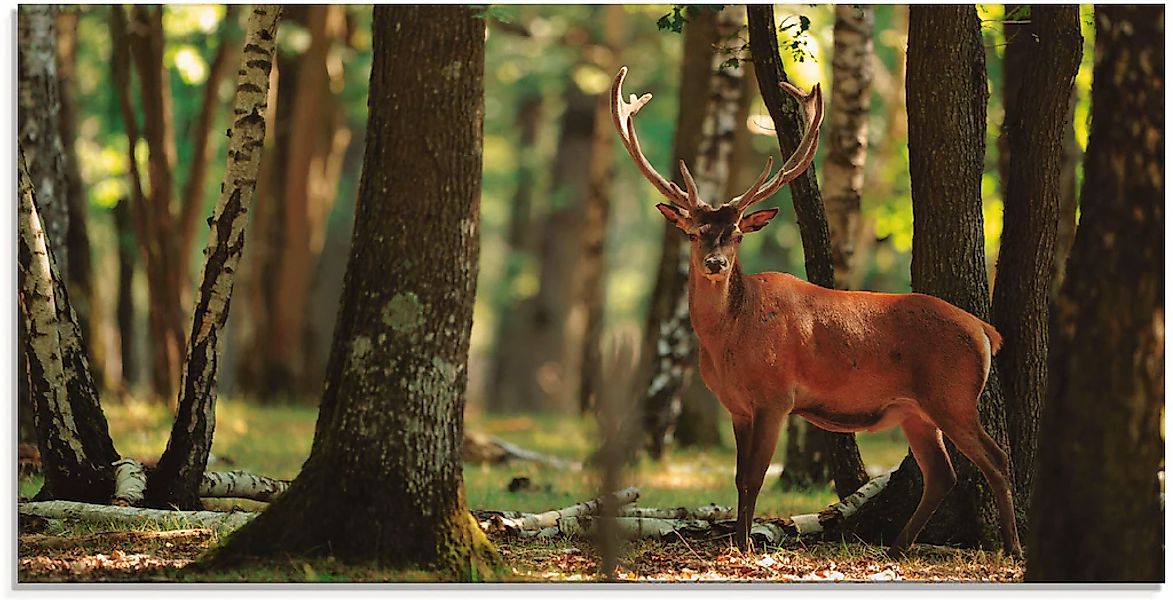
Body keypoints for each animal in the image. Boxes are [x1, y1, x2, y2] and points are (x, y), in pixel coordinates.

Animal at [610, 66, 1022, 559]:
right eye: (694, 233)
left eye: (737, 235)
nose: (715, 264)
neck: (731, 338)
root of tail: (984, 330)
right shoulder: (737, 406)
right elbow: (739, 477)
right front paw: (738, 540)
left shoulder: (776, 396)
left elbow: (754, 477)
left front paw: (745, 545)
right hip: (915, 410)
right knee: (942, 472)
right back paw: (897, 545)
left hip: (954, 396)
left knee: (997, 458)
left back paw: (1013, 547)